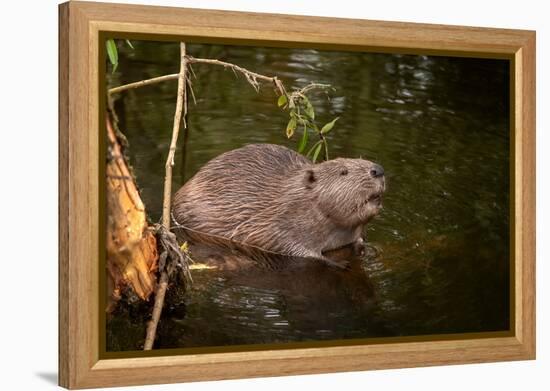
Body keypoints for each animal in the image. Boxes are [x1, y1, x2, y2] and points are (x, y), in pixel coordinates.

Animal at [174, 144, 388, 270]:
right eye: (343, 172)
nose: (378, 170)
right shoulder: (273, 224)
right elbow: (292, 249)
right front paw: (336, 262)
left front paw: (362, 247)